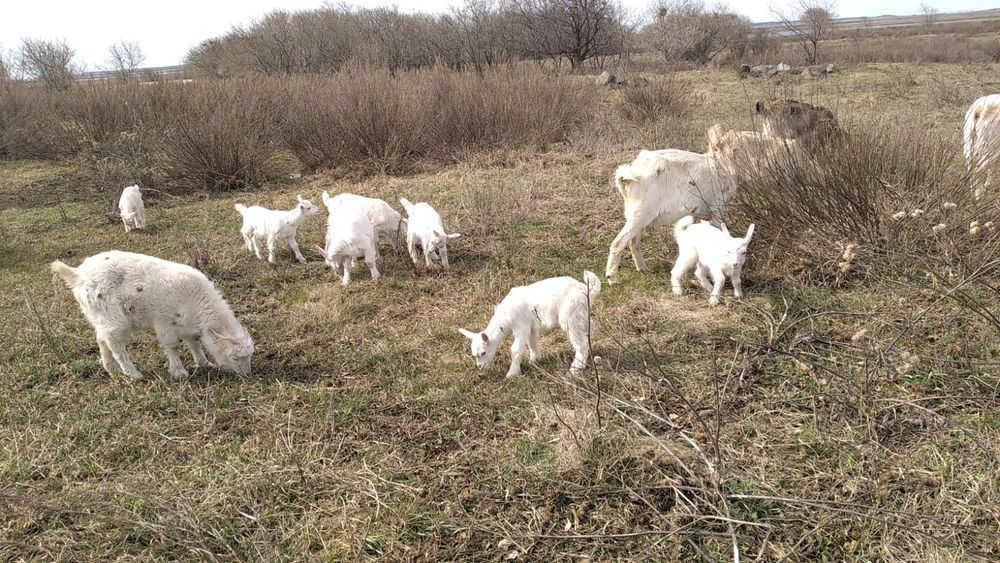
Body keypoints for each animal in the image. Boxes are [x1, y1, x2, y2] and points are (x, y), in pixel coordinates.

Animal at [51, 251, 254, 381]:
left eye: (249, 356)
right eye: (235, 358)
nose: (246, 374)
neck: (197, 299)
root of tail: (77, 275)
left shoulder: (187, 324)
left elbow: (194, 342)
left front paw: (204, 362)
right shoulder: (165, 322)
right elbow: (171, 346)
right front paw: (179, 372)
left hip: (99, 317)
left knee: (102, 338)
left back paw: (111, 369)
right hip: (114, 319)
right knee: (115, 344)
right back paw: (133, 374)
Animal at [459, 271, 601, 377]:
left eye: (483, 352)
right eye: (474, 354)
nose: (480, 367)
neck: (504, 319)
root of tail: (586, 289)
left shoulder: (521, 327)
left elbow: (515, 349)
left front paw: (512, 374)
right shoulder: (531, 326)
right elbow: (532, 342)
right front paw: (535, 360)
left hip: (570, 315)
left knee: (580, 343)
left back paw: (574, 370)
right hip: (581, 314)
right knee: (588, 333)